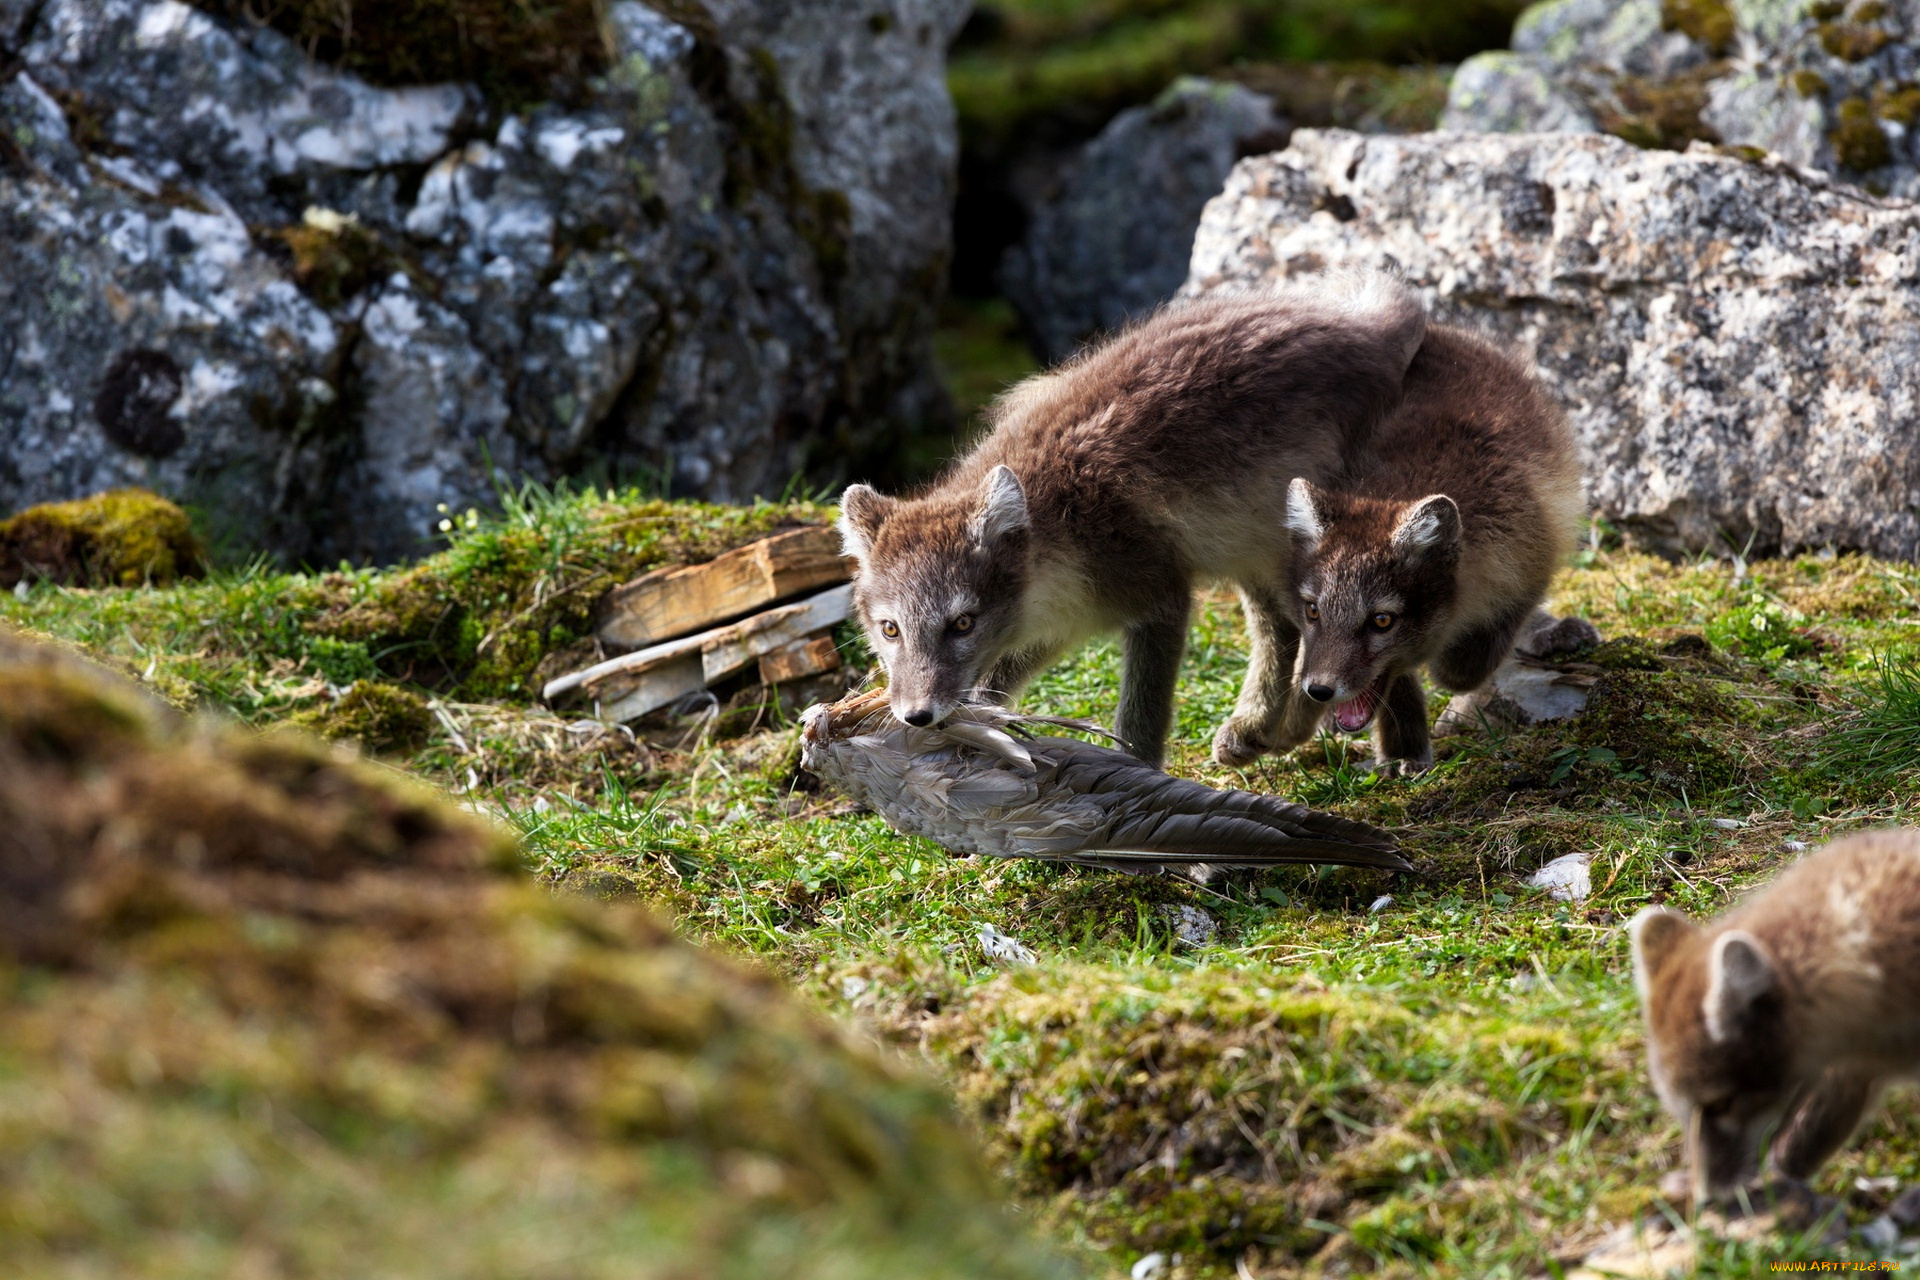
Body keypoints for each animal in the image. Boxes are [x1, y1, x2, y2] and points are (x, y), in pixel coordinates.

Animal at [837, 274, 1428, 767]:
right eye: (890, 629)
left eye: (962, 623)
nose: (915, 716)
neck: (1060, 523)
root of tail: (1365, 324)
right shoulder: (1054, 624)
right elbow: (990, 688)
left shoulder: (1159, 599)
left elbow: (1139, 718)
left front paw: (1140, 782)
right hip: (1248, 548)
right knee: (1283, 627)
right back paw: (1259, 729)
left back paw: (1401, 749)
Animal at [1251, 326, 1582, 775]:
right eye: (1313, 611)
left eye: (1382, 621)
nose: (1318, 690)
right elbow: (1398, 682)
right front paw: (1403, 749)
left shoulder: (1529, 564)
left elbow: (1462, 669)